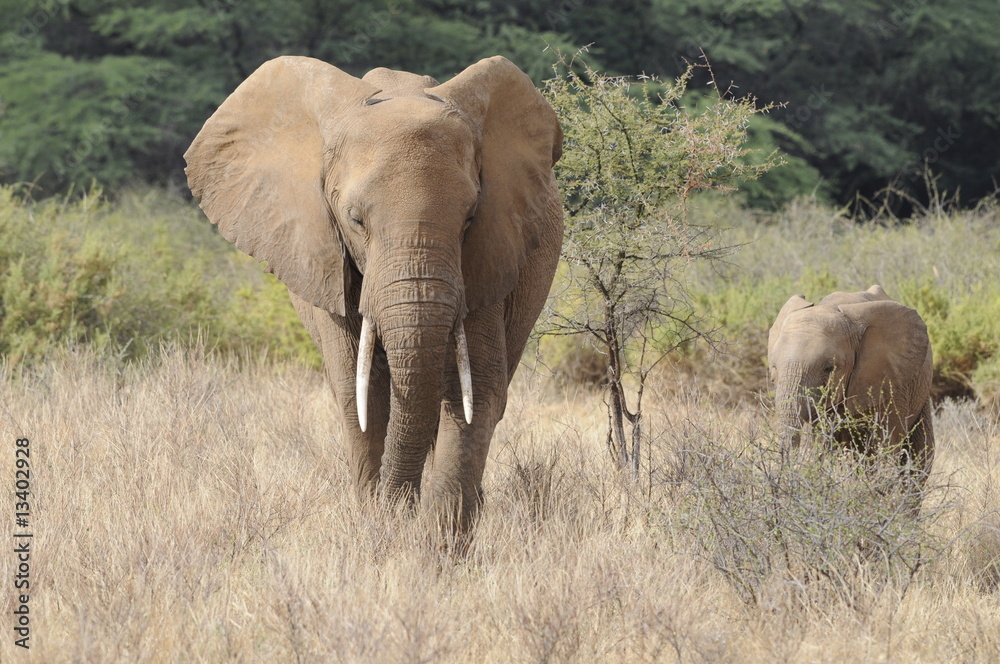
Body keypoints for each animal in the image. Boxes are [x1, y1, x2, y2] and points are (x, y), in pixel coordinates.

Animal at [186, 55, 564, 528]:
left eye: (470, 219)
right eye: (355, 220)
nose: (397, 506)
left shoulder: (489, 256)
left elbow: (473, 392)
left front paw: (429, 540)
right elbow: (359, 394)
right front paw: (383, 527)